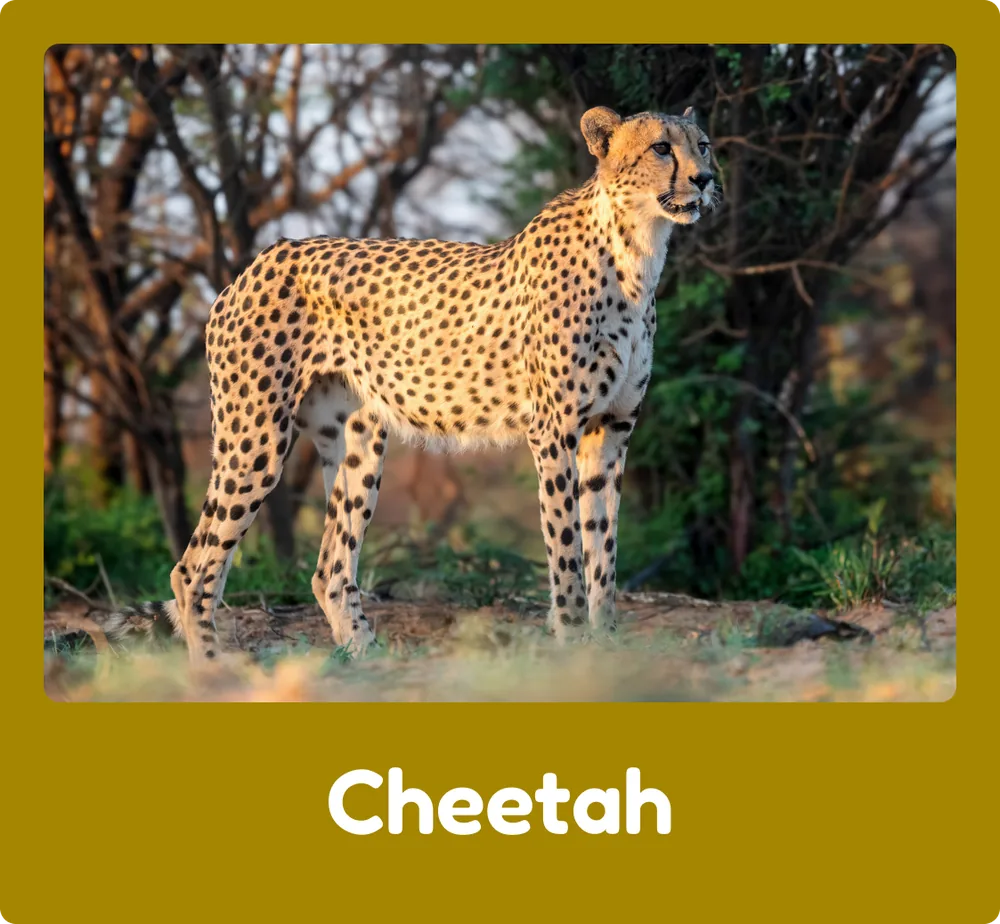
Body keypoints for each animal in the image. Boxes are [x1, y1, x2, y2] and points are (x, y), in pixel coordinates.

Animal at [104, 105, 719, 663]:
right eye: (661, 148)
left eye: (704, 145)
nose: (706, 179)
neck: (637, 250)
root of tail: (260, 259)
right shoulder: (554, 433)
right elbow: (567, 550)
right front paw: (571, 645)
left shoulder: (610, 432)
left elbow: (603, 551)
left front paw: (606, 645)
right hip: (254, 438)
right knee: (193, 568)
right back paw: (214, 668)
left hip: (358, 442)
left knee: (329, 569)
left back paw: (369, 662)